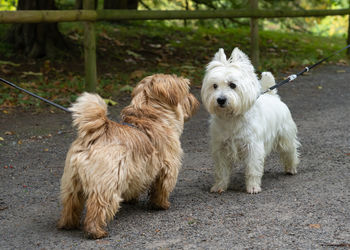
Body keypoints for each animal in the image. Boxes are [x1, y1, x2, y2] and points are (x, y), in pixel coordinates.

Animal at [57, 73, 200, 238]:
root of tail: (95, 134)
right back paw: (96, 231)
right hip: (106, 186)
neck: (152, 117)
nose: (194, 99)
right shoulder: (168, 167)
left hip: (71, 184)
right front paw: (161, 205)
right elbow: (161, 188)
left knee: (70, 203)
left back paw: (68, 224)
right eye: (186, 91)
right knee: (97, 206)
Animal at [201, 47, 300, 194]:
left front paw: (253, 187)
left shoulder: (253, 146)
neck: (231, 117)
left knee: (290, 151)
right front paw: (219, 186)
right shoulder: (221, 148)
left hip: (285, 136)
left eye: (232, 85)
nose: (220, 100)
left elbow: (253, 168)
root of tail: (273, 96)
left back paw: (291, 169)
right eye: (214, 86)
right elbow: (221, 170)